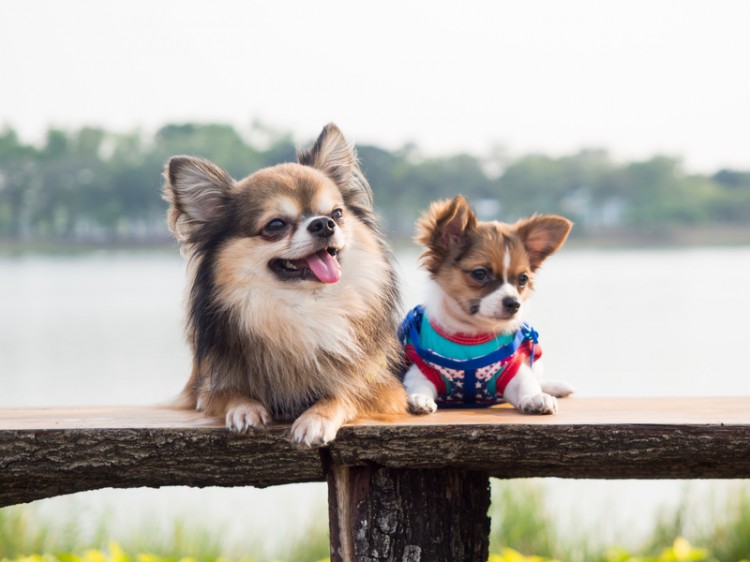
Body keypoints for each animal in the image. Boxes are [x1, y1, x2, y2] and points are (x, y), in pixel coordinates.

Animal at [164, 123, 408, 446]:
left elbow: (347, 392)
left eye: (337, 214)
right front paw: (245, 408)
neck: (305, 305)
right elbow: (229, 393)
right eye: (276, 225)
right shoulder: (207, 391)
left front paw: (317, 418)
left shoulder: (386, 391)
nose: (323, 224)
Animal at [406, 195, 576, 414]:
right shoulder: (420, 371)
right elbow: (419, 385)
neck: (472, 335)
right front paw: (420, 398)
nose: (514, 304)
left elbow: (527, 384)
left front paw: (536, 397)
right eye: (480, 273)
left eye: (522, 279)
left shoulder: (514, 372)